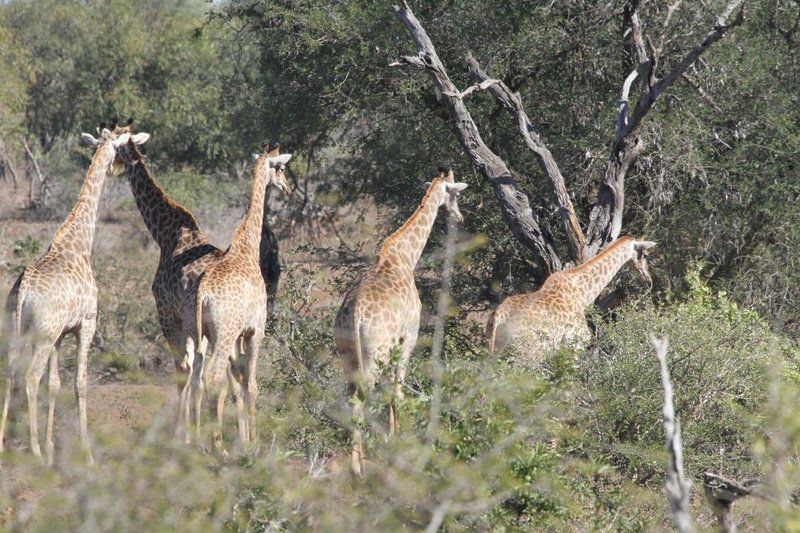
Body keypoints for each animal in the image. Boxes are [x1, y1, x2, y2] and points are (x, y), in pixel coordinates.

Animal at [0, 124, 134, 466]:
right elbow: (79, 383)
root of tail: (23, 290)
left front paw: (52, 449)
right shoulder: (87, 323)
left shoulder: (61, 333)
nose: (117, 168)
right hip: (43, 334)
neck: (80, 245)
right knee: (30, 377)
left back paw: (5, 445)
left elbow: (55, 384)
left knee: (11, 374)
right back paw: (34, 451)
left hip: (18, 330)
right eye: (121, 147)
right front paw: (86, 453)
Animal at [183, 142, 292, 454]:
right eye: (281, 167)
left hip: (198, 333)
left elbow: (240, 383)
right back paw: (218, 446)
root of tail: (202, 293)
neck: (247, 247)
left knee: (195, 377)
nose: (287, 188)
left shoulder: (238, 336)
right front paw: (255, 444)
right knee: (212, 377)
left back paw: (197, 442)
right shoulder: (256, 330)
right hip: (223, 332)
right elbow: (252, 384)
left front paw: (246, 440)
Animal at [332, 167, 468, 474]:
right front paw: (400, 442)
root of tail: (355, 314)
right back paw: (359, 467)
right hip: (375, 354)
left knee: (351, 398)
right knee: (363, 398)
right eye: (455, 193)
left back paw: (356, 462)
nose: (460, 217)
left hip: (347, 354)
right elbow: (398, 392)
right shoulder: (409, 337)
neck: (406, 258)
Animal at [484, 237, 652, 362]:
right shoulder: (575, 344)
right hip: (529, 354)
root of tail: (499, 317)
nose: (649, 281)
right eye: (645, 255)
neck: (583, 294)